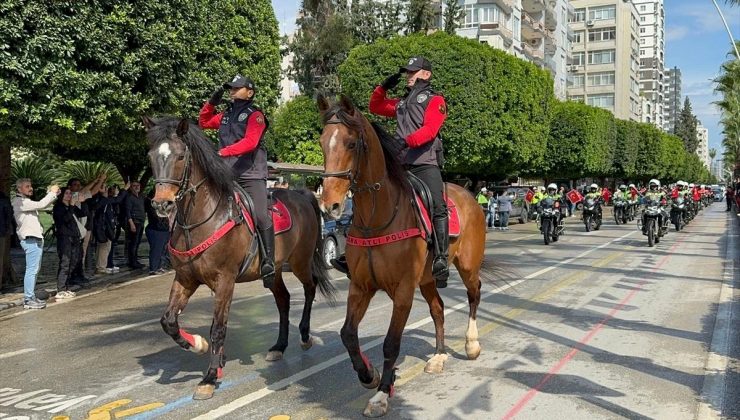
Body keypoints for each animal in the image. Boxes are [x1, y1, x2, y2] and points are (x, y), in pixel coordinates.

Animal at [141, 115, 336, 400]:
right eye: (151, 155)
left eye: (180, 156)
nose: (161, 204)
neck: (200, 221)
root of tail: (302, 194)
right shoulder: (185, 279)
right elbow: (168, 321)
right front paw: (199, 345)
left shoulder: (225, 280)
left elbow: (218, 327)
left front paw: (210, 376)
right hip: (275, 270)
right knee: (284, 300)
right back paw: (279, 346)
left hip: (300, 261)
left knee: (310, 289)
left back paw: (305, 335)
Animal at [316, 96, 488, 416]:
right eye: (322, 142)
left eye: (351, 143)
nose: (329, 206)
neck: (376, 218)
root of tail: (470, 195)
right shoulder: (361, 287)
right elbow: (348, 334)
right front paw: (368, 375)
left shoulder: (404, 290)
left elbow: (391, 344)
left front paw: (382, 393)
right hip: (428, 279)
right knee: (438, 308)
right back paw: (439, 356)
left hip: (468, 267)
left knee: (474, 295)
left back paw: (471, 344)